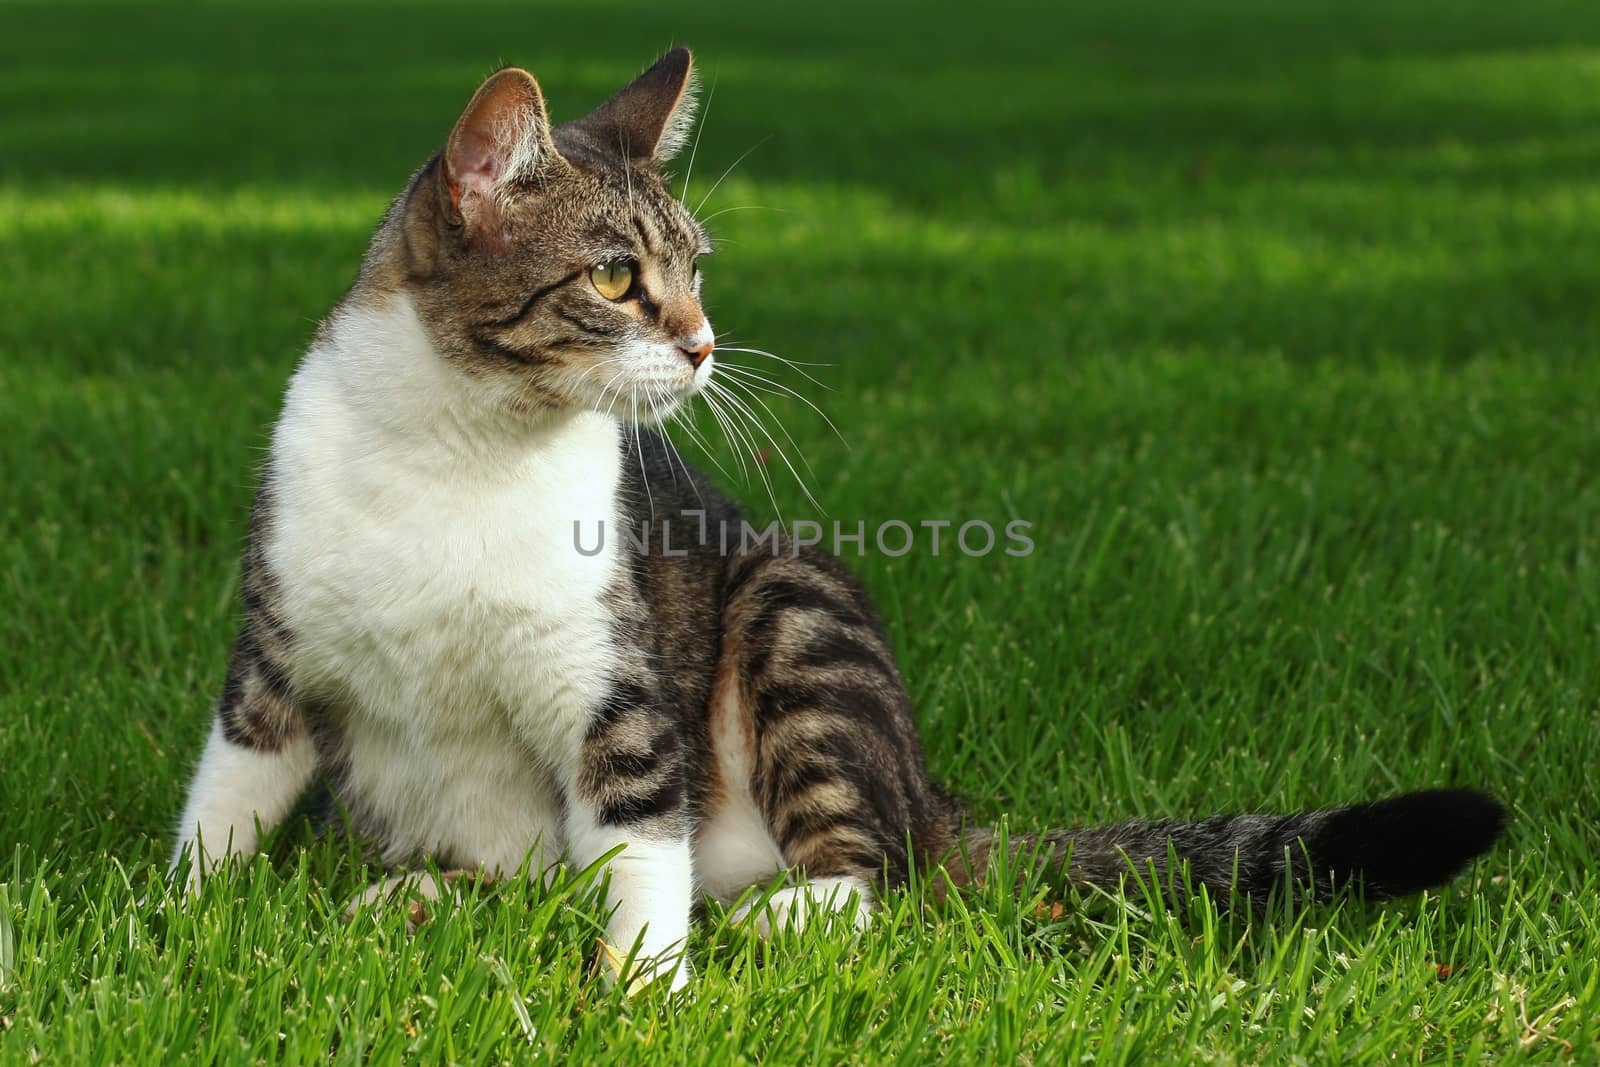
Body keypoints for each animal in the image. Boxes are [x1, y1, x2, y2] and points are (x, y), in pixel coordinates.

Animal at [168, 47, 1504, 991]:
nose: (703, 343)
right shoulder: (274, 643)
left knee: (870, 874)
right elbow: (230, 786)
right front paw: (176, 918)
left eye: (696, 269)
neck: (461, 447)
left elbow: (640, 840)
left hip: (797, 614)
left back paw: (770, 915)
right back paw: (421, 897)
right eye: (615, 276)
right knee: (530, 877)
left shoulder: (613, 675)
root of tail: (929, 790)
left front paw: (642, 989)